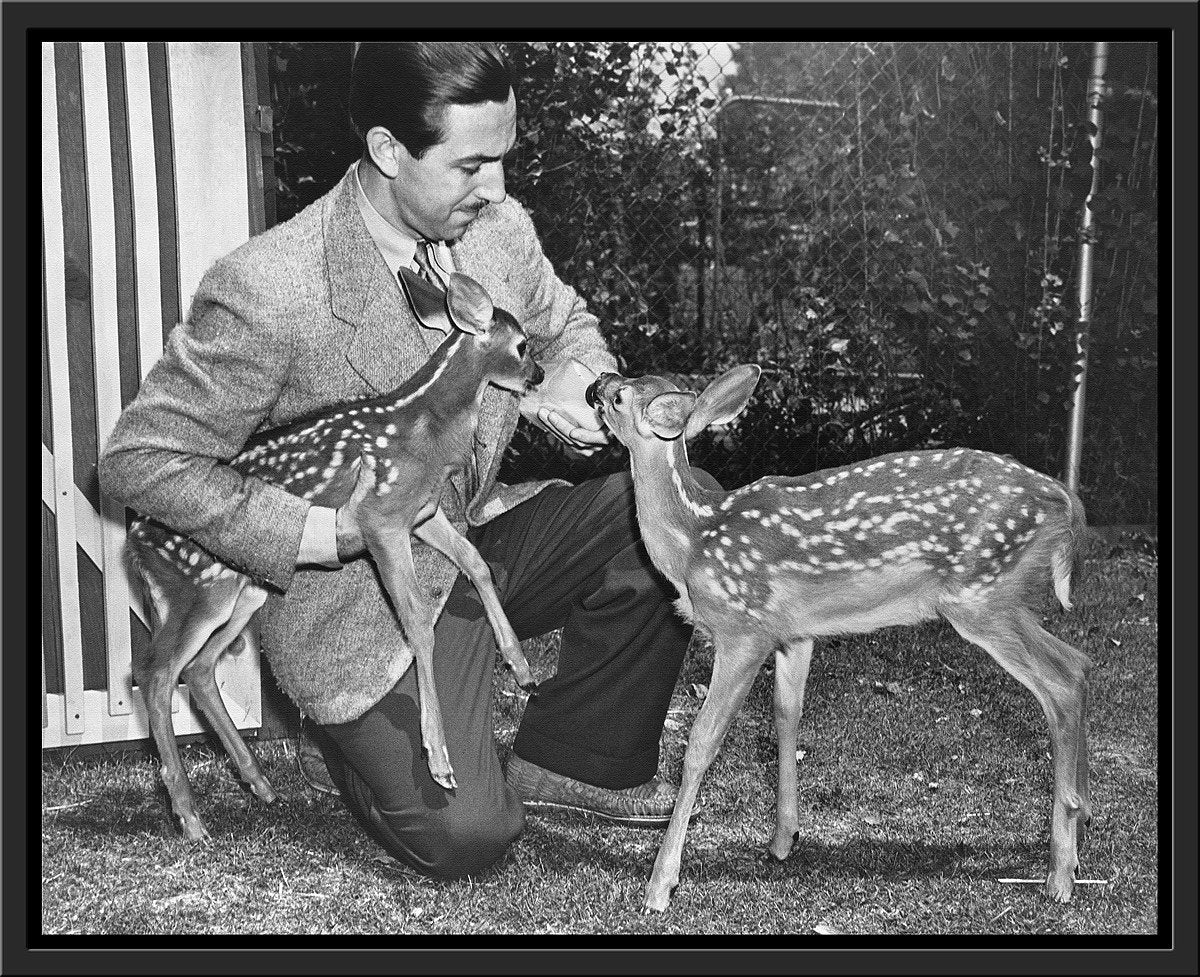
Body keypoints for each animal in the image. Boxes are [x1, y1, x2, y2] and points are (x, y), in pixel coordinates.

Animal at [125, 270, 541, 841]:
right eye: (522, 346)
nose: (539, 375)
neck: (426, 422)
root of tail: (134, 543)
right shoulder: (380, 517)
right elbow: (417, 622)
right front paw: (438, 760)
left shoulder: (422, 512)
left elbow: (475, 563)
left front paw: (520, 666)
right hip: (197, 587)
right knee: (155, 671)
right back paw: (189, 816)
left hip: (245, 590)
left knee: (201, 668)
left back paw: (259, 784)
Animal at [585, 364, 1092, 912]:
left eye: (619, 396)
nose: (594, 384)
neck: (692, 541)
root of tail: (1065, 503)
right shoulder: (795, 633)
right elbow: (785, 716)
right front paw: (783, 838)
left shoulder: (745, 628)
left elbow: (701, 740)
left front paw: (660, 885)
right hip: (1001, 598)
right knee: (1079, 663)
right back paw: (1082, 827)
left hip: (981, 596)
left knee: (1062, 681)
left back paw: (1060, 873)